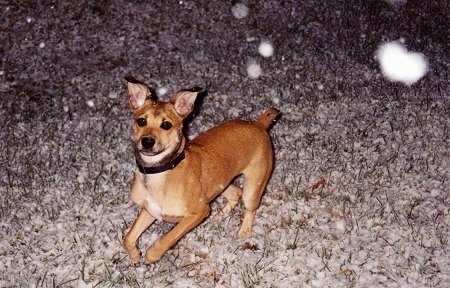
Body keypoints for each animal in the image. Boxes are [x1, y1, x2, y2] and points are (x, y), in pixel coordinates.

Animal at [121, 76, 280, 264]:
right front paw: (135, 255)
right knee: (236, 193)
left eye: (166, 124)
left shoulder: (198, 212)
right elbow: (128, 238)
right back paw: (221, 215)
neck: (161, 171)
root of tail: (258, 124)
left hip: (253, 188)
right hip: (219, 184)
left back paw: (244, 231)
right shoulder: (149, 210)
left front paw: (152, 255)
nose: (147, 141)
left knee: (249, 206)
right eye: (141, 121)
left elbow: (167, 239)